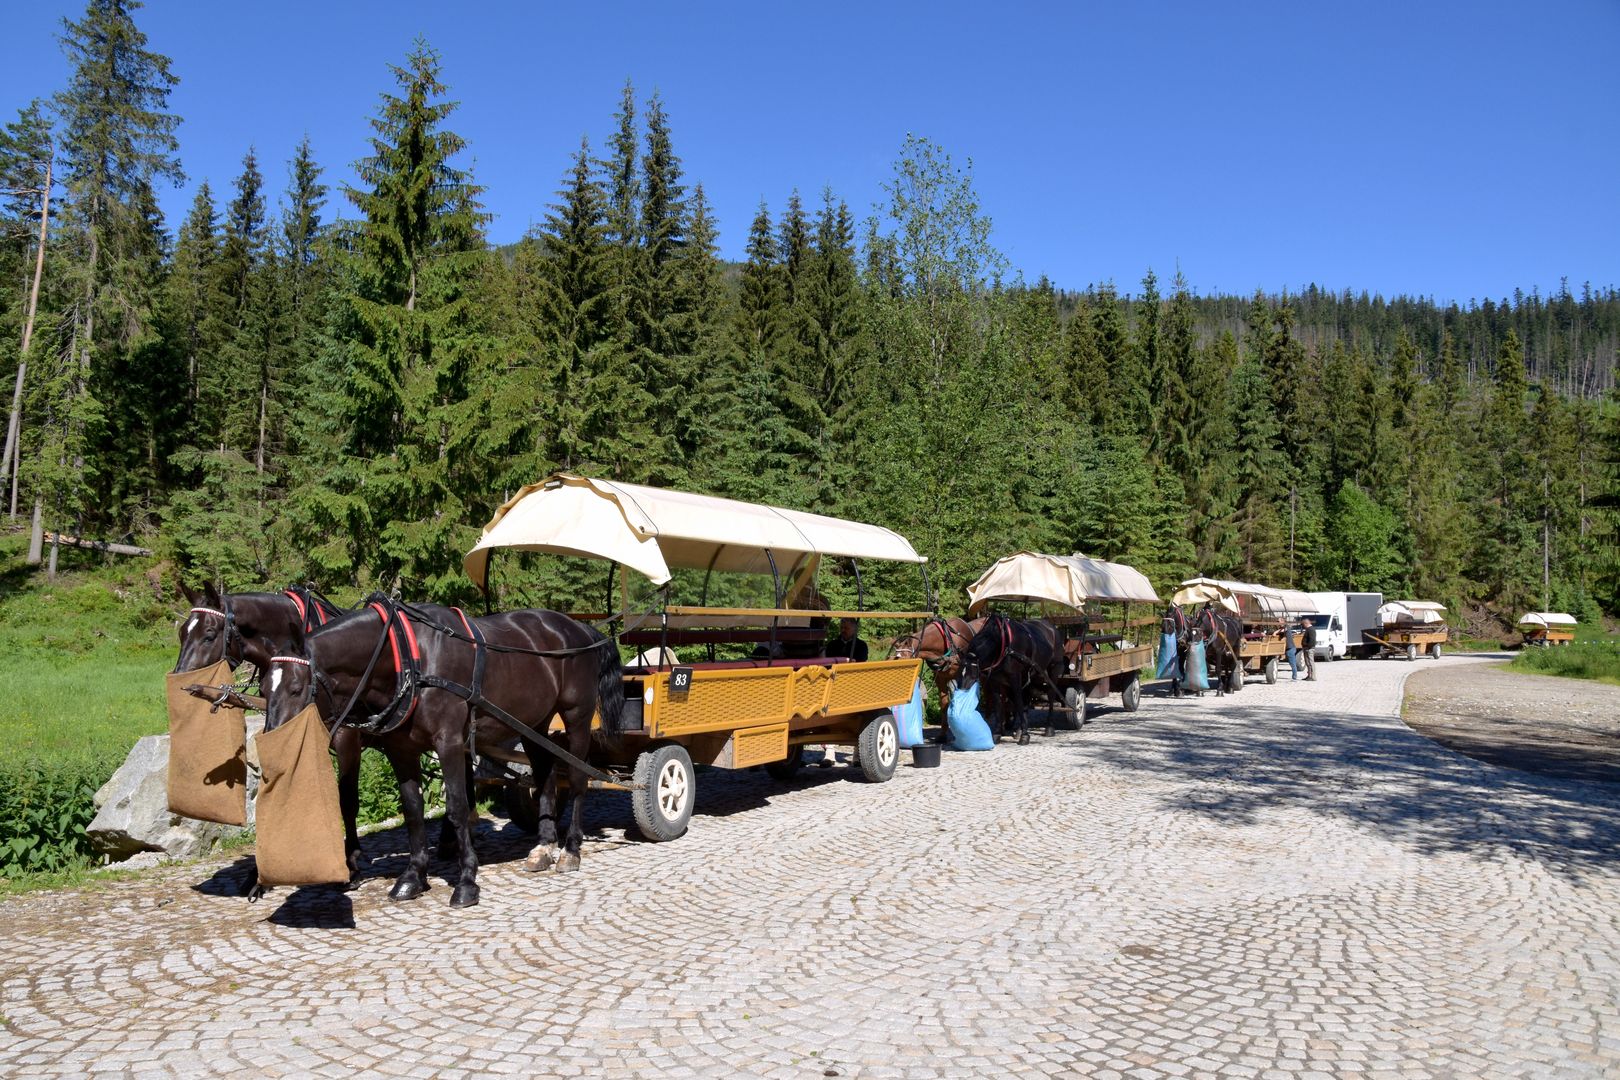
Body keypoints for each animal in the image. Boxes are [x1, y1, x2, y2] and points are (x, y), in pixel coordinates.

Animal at [262, 595, 622, 906]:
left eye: (296, 688)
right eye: (264, 688)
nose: (272, 750)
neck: (406, 656)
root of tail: (579, 629)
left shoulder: (448, 742)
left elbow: (458, 809)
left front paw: (466, 881)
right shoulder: (400, 749)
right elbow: (412, 811)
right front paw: (413, 877)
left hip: (576, 718)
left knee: (577, 779)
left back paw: (570, 850)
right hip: (534, 722)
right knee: (546, 777)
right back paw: (544, 847)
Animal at [959, 612, 1062, 748]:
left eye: (972, 674)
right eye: (960, 672)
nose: (961, 692)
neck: (1002, 643)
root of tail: (1052, 628)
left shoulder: (1015, 677)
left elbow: (1018, 703)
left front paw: (1025, 736)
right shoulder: (995, 681)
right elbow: (999, 705)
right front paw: (997, 734)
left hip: (1053, 670)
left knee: (1050, 695)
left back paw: (1049, 727)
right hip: (1032, 675)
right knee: (1027, 701)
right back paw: (1019, 730)